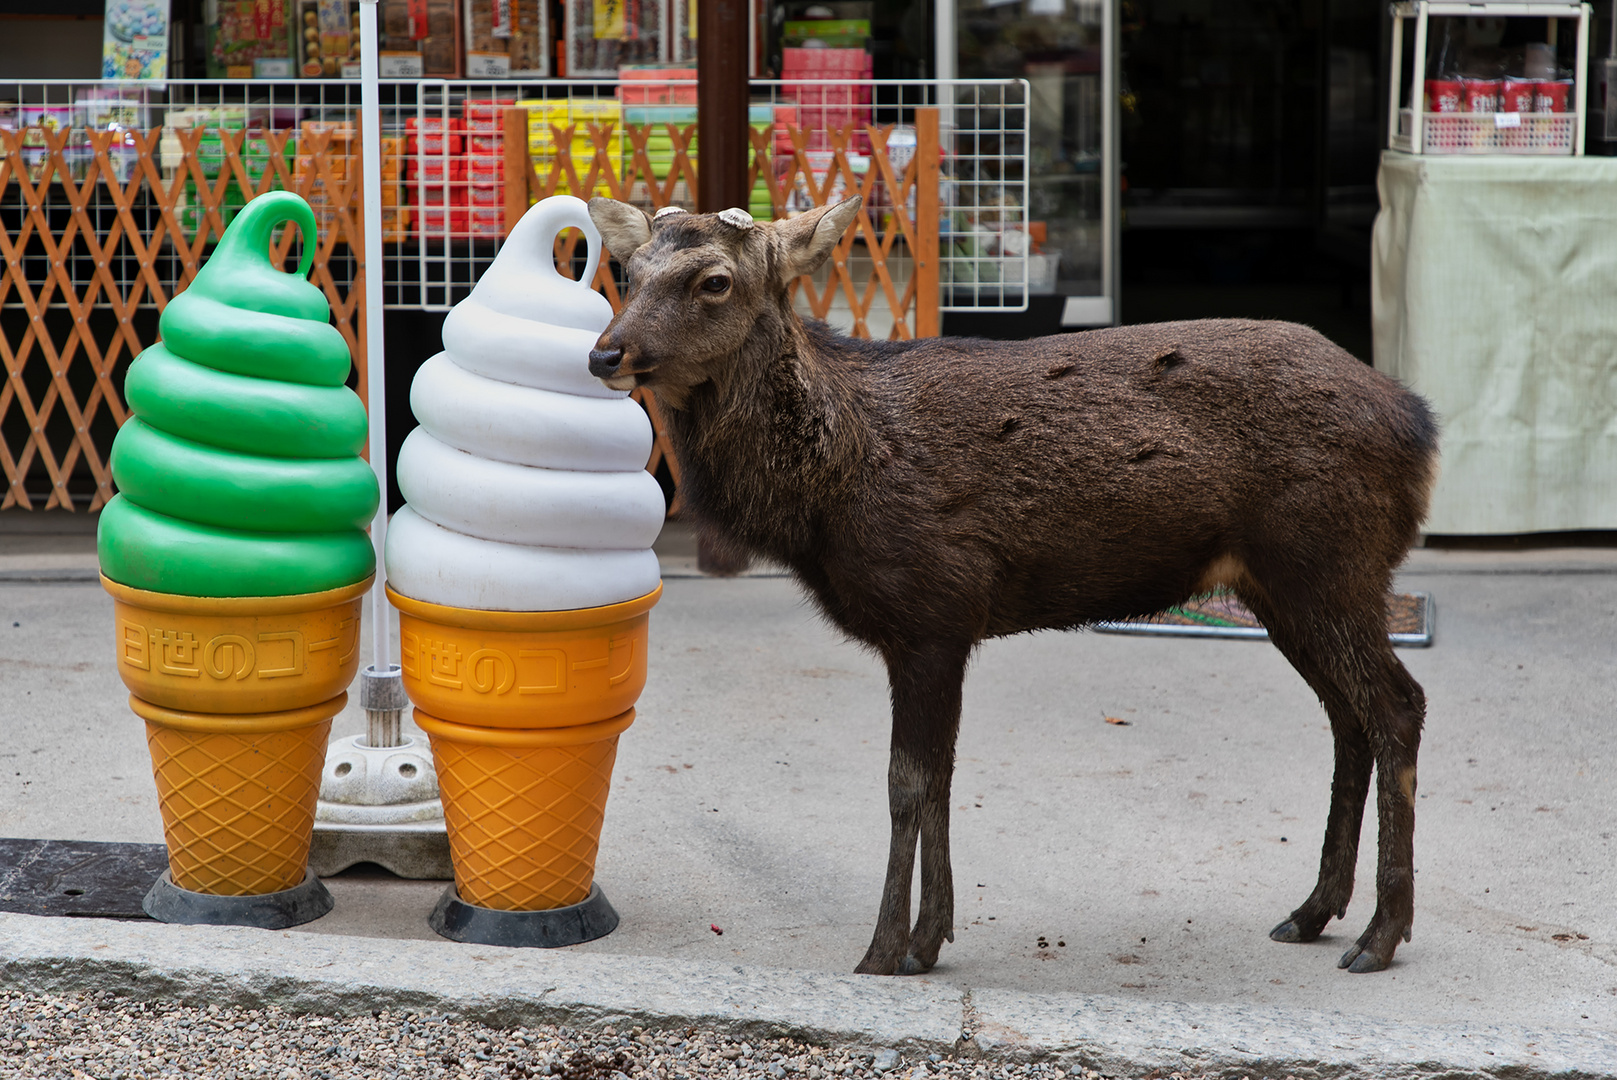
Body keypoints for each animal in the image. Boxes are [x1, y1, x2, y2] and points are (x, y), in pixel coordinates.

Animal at [585, 194, 1442, 976]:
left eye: (714, 281)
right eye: (628, 271)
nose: (606, 353)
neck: (833, 487)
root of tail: (1419, 425)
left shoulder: (931, 609)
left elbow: (907, 782)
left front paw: (883, 950)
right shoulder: (941, 627)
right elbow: (939, 780)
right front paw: (929, 940)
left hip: (1330, 561)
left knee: (1396, 705)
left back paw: (1379, 933)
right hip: (1283, 586)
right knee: (1346, 718)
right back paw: (1313, 911)